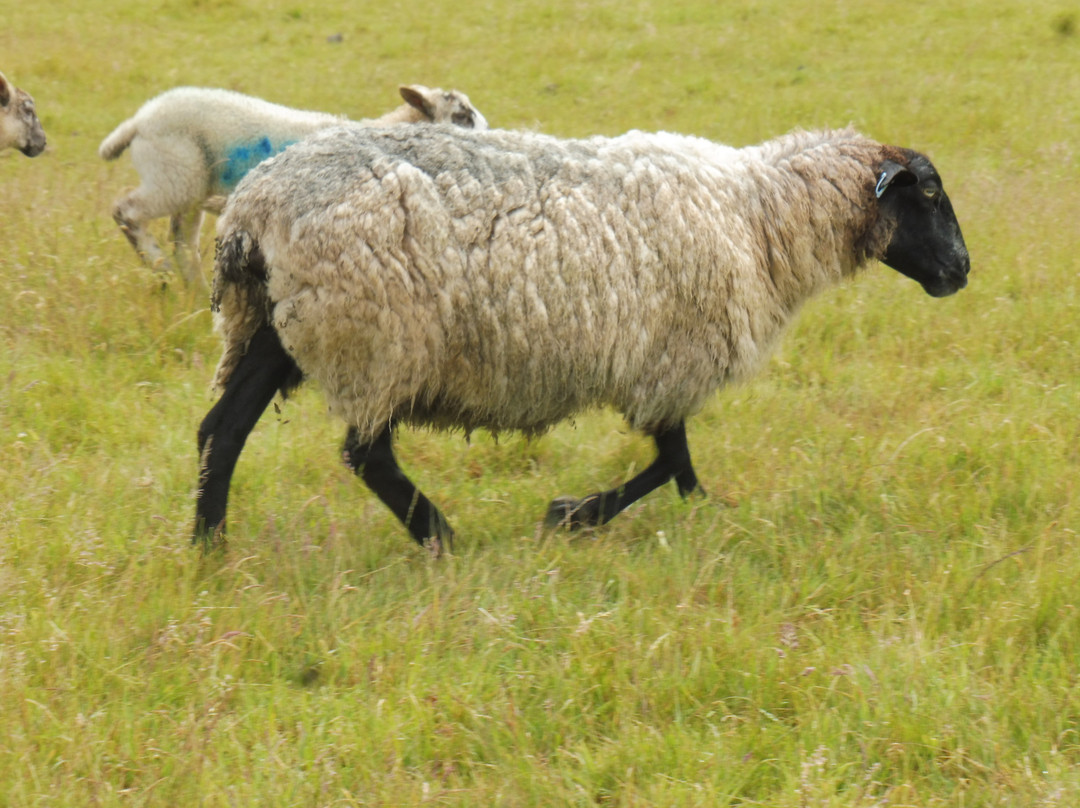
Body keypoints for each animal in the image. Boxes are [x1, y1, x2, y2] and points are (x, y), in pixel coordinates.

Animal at [99, 84, 488, 285]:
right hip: (173, 177)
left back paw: (193, 290)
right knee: (125, 211)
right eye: (462, 115)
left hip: (190, 188)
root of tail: (139, 121)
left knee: (182, 241)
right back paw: (158, 266)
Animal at [194, 124, 972, 548]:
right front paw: (575, 516)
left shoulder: (664, 365)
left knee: (221, 432)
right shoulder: (670, 363)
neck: (760, 217)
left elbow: (676, 466)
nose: (962, 271)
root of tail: (253, 209)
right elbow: (671, 463)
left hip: (272, 327)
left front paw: (684, 515)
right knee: (366, 453)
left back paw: (210, 549)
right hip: (377, 337)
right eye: (930, 195)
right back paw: (441, 538)